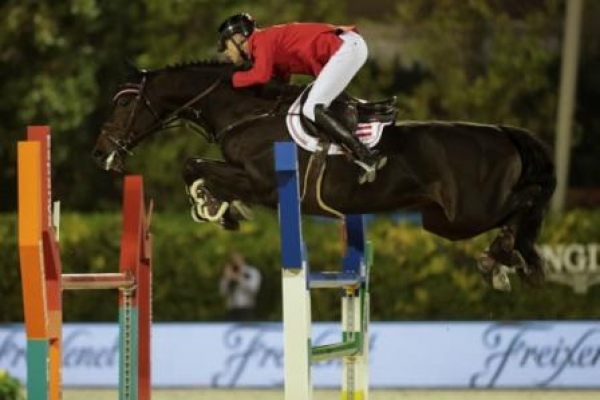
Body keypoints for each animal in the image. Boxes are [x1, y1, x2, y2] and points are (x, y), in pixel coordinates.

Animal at [94, 60, 556, 290]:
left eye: (124, 103)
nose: (101, 152)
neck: (247, 111)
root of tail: (503, 132)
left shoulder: (263, 183)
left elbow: (194, 165)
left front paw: (213, 206)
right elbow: (197, 167)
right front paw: (221, 209)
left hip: (469, 211)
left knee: (528, 201)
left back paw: (511, 254)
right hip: (441, 220)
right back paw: (509, 259)